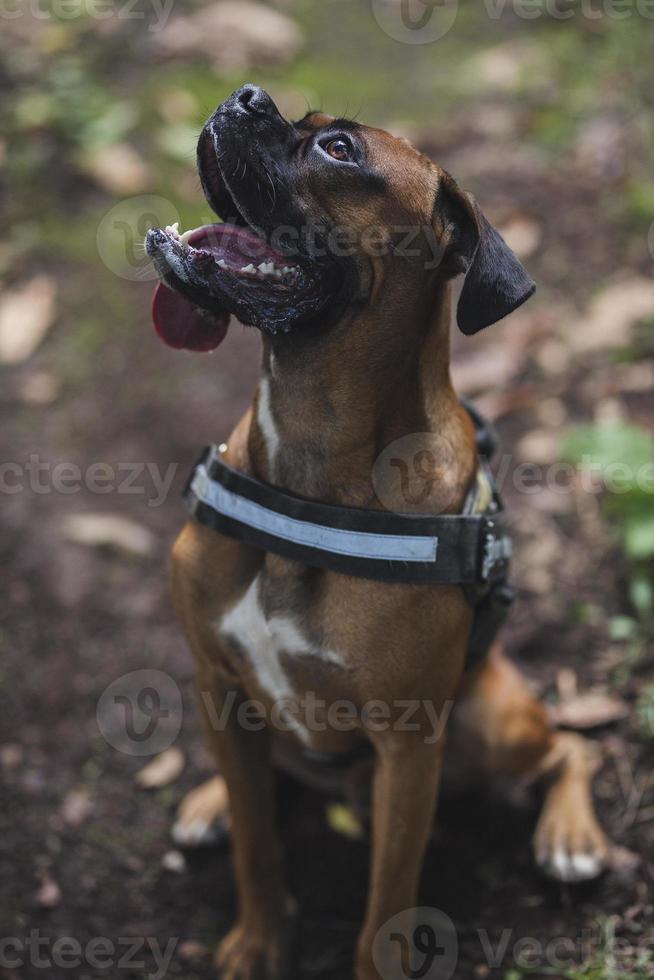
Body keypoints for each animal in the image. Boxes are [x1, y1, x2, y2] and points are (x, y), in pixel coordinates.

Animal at [146, 86, 616, 980]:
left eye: (338, 149)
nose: (246, 96)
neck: (309, 449)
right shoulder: (216, 681)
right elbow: (258, 846)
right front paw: (258, 941)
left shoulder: (407, 753)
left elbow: (385, 911)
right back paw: (209, 800)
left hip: (492, 720)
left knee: (573, 749)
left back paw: (570, 836)